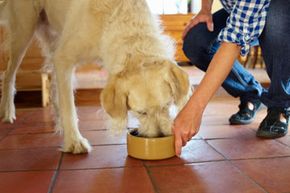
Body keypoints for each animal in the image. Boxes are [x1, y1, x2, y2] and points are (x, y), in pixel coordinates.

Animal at [0, 0, 190, 154]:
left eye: (167, 106)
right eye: (140, 112)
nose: (161, 136)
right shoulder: (64, 58)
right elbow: (69, 105)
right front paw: (74, 141)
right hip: (24, 31)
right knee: (9, 74)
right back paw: (8, 112)